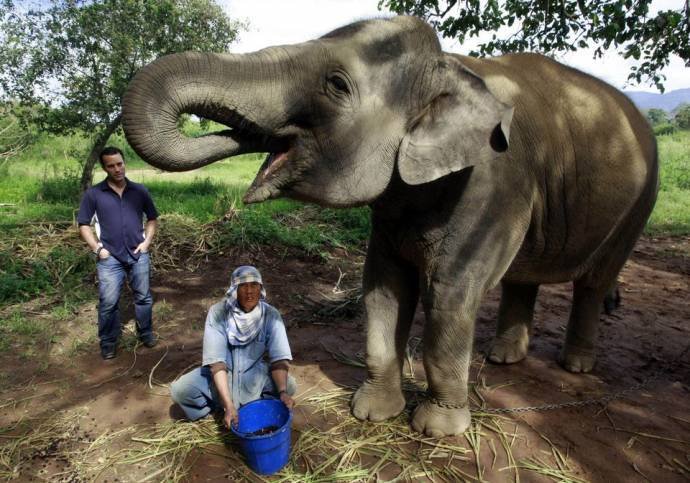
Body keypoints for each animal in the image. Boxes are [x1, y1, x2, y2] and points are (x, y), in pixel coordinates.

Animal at [122, 16, 656, 438]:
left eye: (337, 85)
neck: (452, 67)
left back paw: (576, 365)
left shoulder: (494, 183)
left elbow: (451, 292)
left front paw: (437, 430)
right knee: (523, 278)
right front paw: (372, 414)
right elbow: (383, 286)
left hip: (638, 204)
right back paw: (504, 359)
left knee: (594, 282)